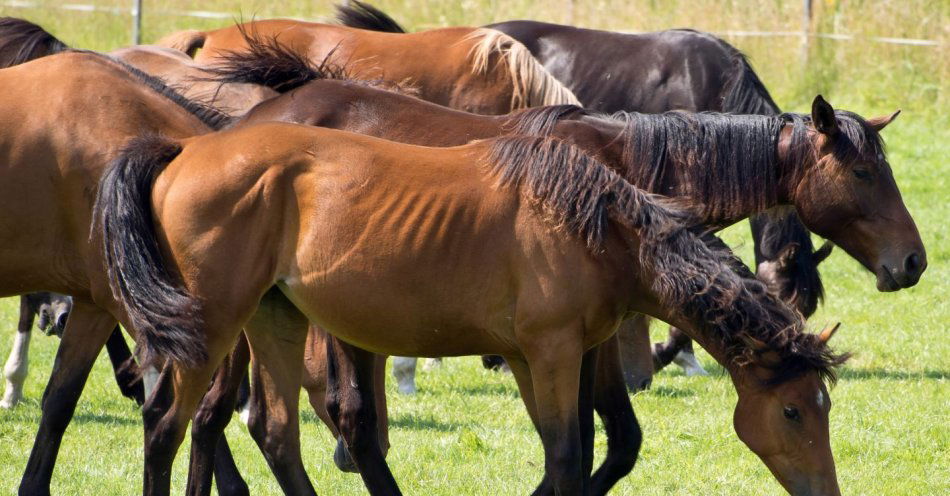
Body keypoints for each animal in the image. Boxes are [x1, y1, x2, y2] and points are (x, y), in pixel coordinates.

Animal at [96, 121, 852, 496]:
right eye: (792, 411)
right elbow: (567, 458)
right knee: (165, 426)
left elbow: (575, 454)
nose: (825, 494)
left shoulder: (564, 357)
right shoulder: (547, 355)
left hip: (274, 319)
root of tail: (183, 149)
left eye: (825, 409)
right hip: (213, 328)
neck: (598, 226)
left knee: (272, 432)